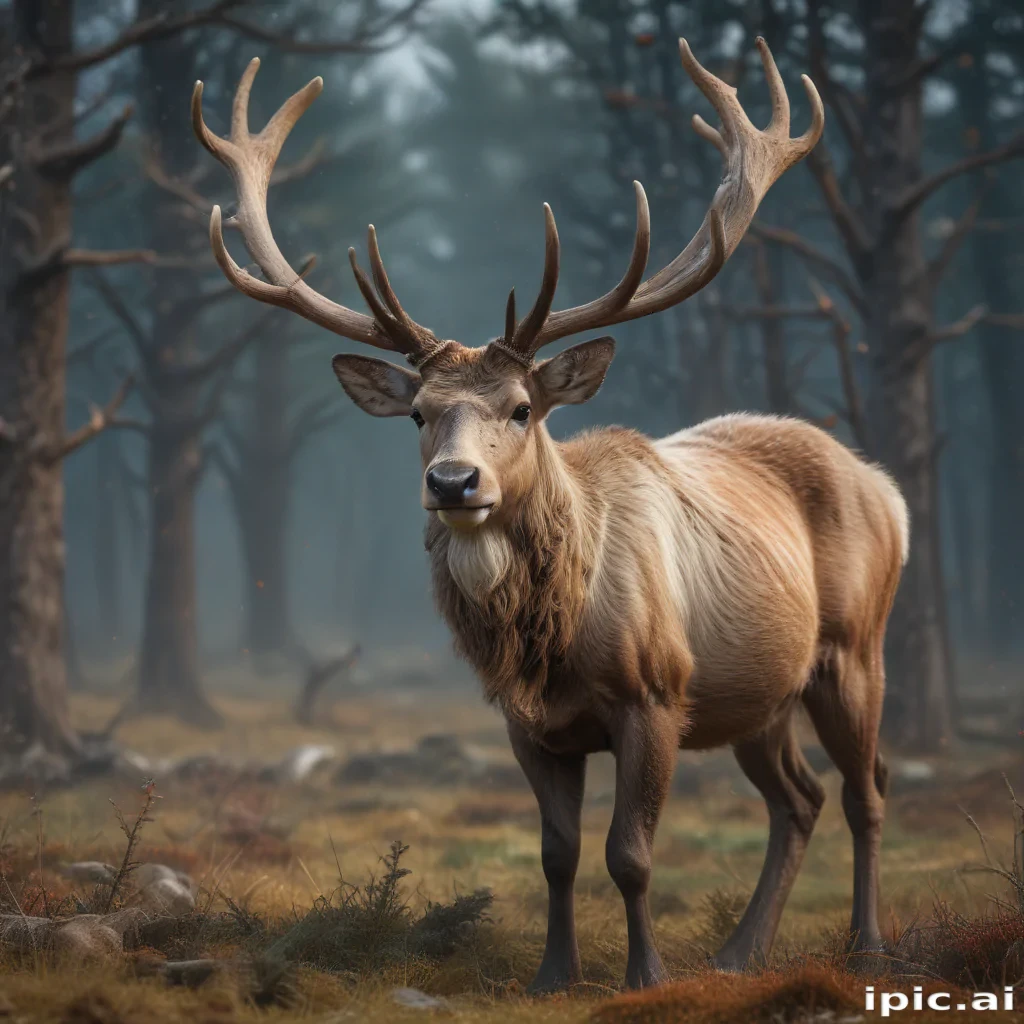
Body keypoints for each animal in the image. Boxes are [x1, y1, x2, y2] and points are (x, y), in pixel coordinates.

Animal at [192, 37, 908, 991]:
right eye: (418, 414)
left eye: (523, 408)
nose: (454, 482)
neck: (556, 644)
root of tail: (888, 487)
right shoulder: (527, 724)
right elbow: (558, 855)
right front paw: (552, 975)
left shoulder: (657, 691)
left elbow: (629, 854)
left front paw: (645, 977)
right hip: (758, 693)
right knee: (801, 798)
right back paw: (737, 954)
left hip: (854, 649)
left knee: (867, 791)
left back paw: (866, 944)